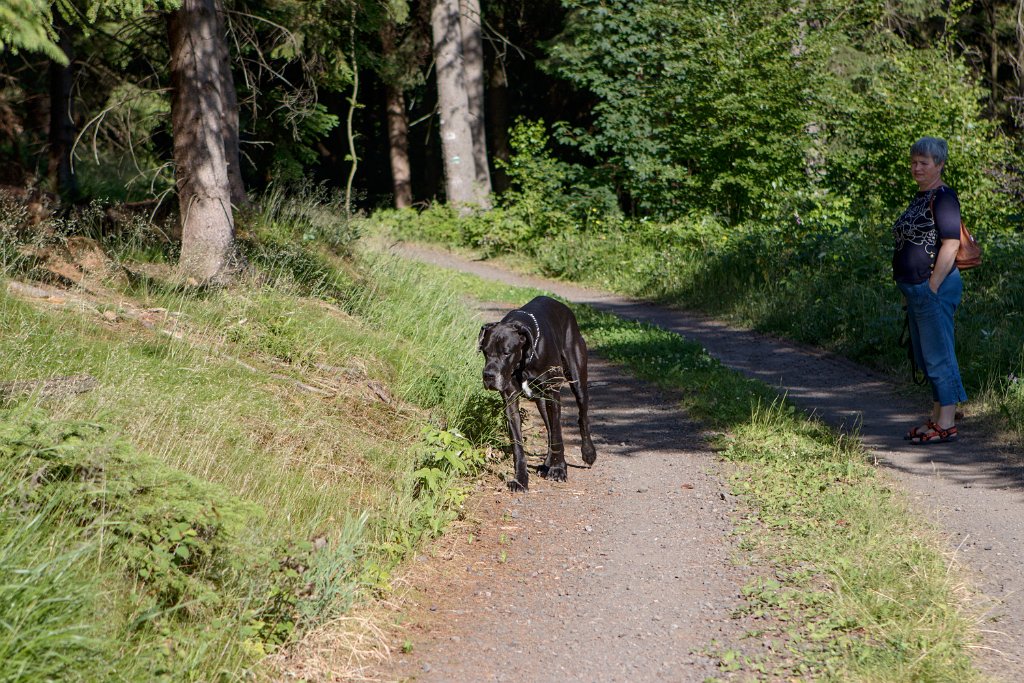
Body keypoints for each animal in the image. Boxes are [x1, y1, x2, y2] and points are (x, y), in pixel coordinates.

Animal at [481, 294, 598, 491]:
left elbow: (558, 434)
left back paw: (588, 453)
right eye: (485, 351)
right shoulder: (510, 400)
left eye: (506, 353)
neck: (524, 361)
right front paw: (520, 479)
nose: (488, 375)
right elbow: (518, 445)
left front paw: (559, 470)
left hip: (577, 379)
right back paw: (547, 464)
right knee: (549, 428)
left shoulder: (552, 393)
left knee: (581, 417)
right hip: (541, 400)